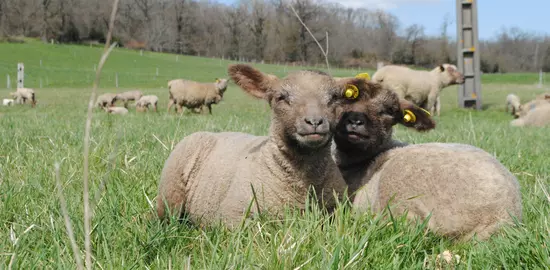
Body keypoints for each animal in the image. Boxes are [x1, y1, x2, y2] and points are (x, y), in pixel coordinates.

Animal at [155, 64, 368, 227]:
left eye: (334, 97)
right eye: (282, 97)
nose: (314, 121)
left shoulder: (338, 211)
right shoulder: (232, 216)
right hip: (170, 195)